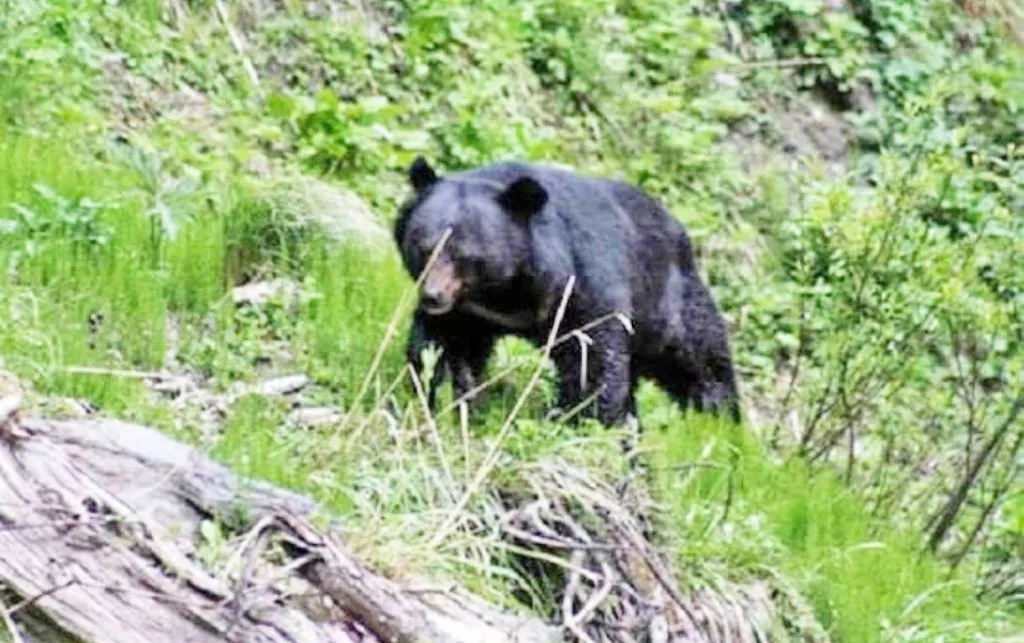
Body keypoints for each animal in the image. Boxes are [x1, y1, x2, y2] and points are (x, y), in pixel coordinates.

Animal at [393, 156, 741, 429]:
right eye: (424, 247)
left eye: (464, 256)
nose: (433, 297)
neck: (506, 290)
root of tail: (681, 231)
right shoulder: (468, 313)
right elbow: (442, 348)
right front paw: (448, 399)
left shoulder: (582, 284)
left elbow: (592, 356)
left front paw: (580, 417)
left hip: (665, 302)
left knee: (700, 357)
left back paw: (718, 420)